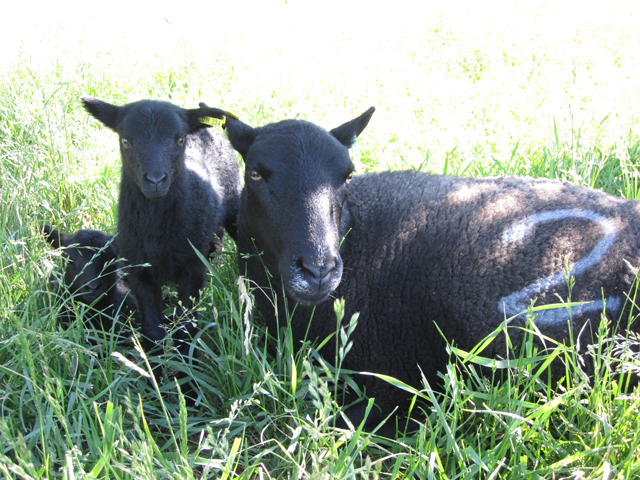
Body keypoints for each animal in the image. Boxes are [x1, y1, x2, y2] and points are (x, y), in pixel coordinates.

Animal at [82, 97, 241, 344]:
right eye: (125, 140)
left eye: (180, 139)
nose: (155, 180)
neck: (156, 230)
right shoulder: (138, 271)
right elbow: (153, 329)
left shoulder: (191, 269)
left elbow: (186, 327)